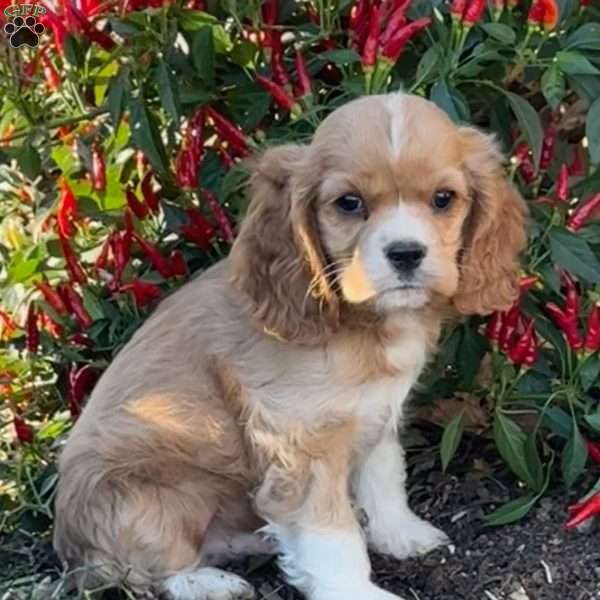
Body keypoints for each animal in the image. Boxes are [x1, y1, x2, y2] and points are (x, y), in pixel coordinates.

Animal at [54, 90, 528, 600]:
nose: (405, 253)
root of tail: (72, 551)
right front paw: (357, 590)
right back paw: (213, 581)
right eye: (349, 203)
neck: (363, 325)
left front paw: (400, 534)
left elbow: (384, 476)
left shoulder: (376, 413)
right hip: (146, 495)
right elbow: (331, 536)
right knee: (147, 570)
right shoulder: (301, 442)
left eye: (443, 199)